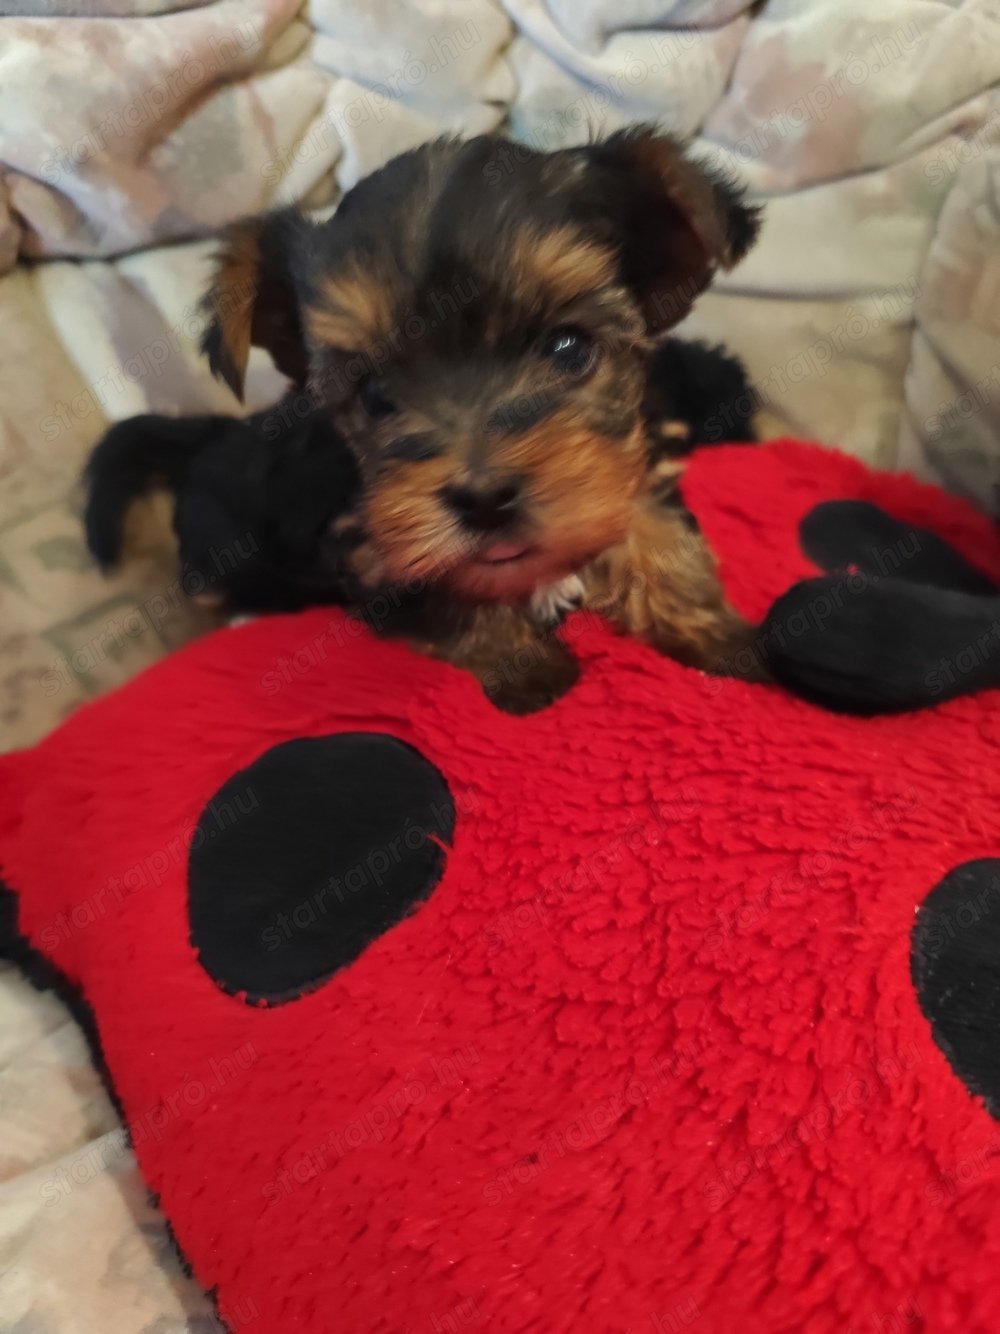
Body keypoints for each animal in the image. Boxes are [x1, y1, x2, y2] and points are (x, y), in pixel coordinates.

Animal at [92, 127, 768, 709]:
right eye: (373, 393)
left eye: (568, 348)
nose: (485, 499)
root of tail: (215, 433)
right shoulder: (372, 551)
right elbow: (450, 596)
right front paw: (532, 674)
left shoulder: (625, 466)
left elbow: (657, 531)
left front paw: (713, 635)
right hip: (216, 554)